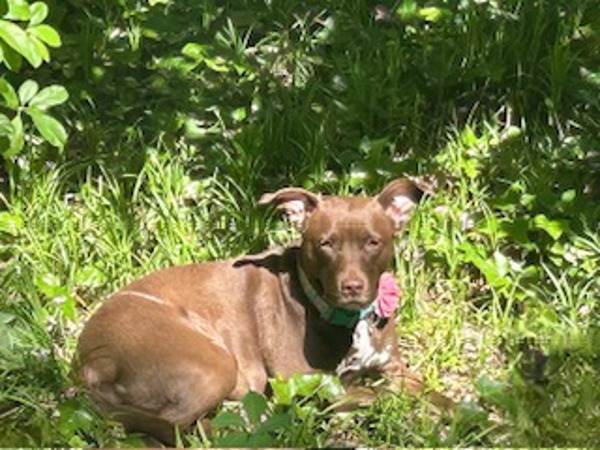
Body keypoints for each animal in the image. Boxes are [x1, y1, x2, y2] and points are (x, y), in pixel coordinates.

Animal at [76, 178, 446, 442]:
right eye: (325, 244)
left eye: (373, 242)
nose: (351, 287)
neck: (349, 321)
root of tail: (92, 360)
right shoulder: (308, 383)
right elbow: (379, 394)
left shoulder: (395, 367)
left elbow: (430, 393)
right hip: (212, 362)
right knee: (175, 428)